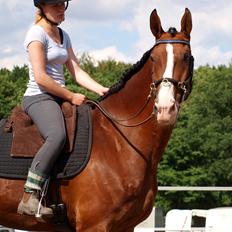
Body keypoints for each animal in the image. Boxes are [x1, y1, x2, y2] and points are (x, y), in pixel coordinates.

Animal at [0, 8, 193, 232]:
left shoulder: (125, 226)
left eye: (186, 56)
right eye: (154, 58)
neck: (118, 140)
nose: (164, 108)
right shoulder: (95, 225)